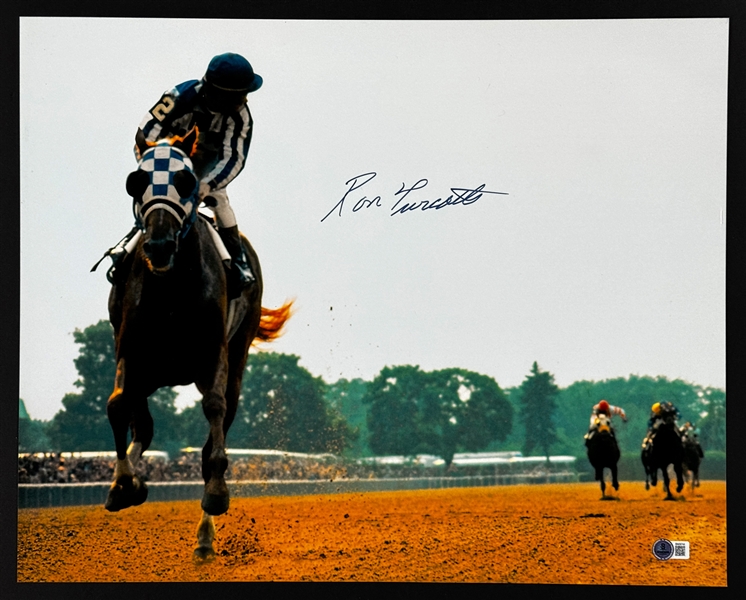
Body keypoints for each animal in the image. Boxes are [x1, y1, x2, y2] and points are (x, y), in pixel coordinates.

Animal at [104, 129, 290, 560]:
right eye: (136, 181)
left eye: (186, 180)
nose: (158, 244)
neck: (171, 286)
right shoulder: (131, 350)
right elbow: (117, 404)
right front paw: (123, 485)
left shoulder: (212, 354)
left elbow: (213, 416)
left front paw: (217, 495)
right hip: (154, 373)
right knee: (144, 427)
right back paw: (136, 480)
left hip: (235, 357)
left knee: (213, 426)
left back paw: (205, 537)